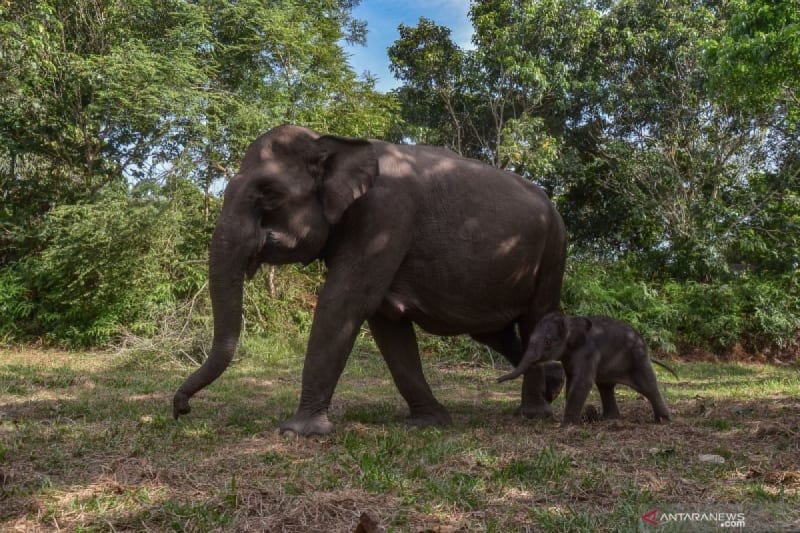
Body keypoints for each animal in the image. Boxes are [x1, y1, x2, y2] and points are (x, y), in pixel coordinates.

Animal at [172, 124, 567, 436]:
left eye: (268, 193)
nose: (182, 408)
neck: (330, 140)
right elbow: (386, 321)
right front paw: (429, 421)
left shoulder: (385, 217)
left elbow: (345, 302)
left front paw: (298, 432)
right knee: (493, 332)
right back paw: (553, 388)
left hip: (553, 252)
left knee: (536, 318)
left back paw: (534, 413)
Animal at [497, 313, 676, 425]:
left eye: (548, 342)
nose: (497, 380)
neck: (570, 319)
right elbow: (572, 381)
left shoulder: (588, 351)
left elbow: (582, 382)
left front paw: (566, 425)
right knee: (605, 387)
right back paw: (609, 419)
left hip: (638, 356)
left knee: (648, 386)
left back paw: (663, 420)